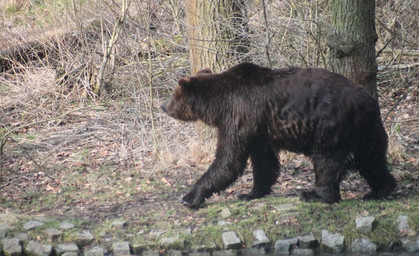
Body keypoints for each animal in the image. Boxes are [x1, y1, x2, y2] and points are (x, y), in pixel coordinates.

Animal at [161, 63, 398, 209]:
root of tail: (369, 101)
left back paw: (316, 194)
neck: (220, 105)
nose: (163, 106)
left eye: (174, 95)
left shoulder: (241, 116)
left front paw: (190, 197)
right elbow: (264, 163)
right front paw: (251, 192)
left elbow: (228, 160)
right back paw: (380, 189)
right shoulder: (259, 130)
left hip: (332, 125)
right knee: (371, 160)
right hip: (366, 131)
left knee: (327, 159)